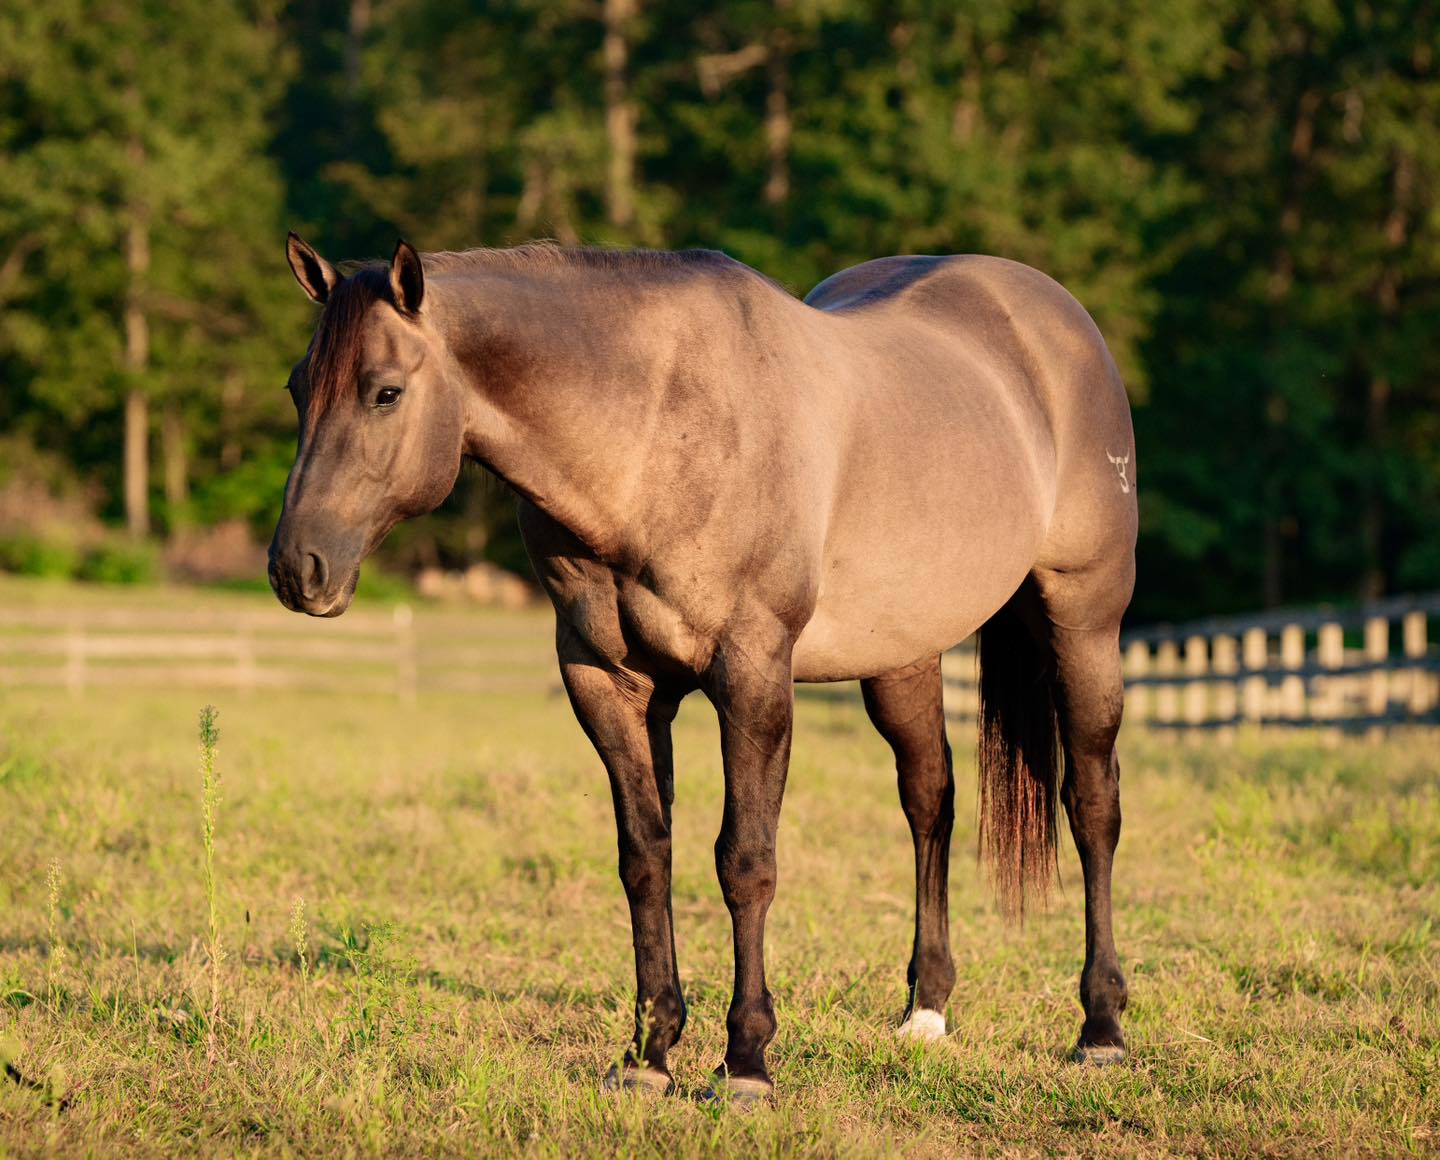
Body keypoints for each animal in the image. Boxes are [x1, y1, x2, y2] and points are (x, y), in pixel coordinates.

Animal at [270, 233, 1137, 1102]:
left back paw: (1101, 1027)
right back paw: (926, 1011)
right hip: (903, 655)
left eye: (385, 393)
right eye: (297, 387)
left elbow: (744, 861)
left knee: (1092, 804)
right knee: (931, 801)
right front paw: (649, 1054)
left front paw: (746, 1060)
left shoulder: (752, 675)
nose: (295, 569)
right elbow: (645, 856)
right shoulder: (607, 681)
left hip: (1084, 623)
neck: (654, 433)